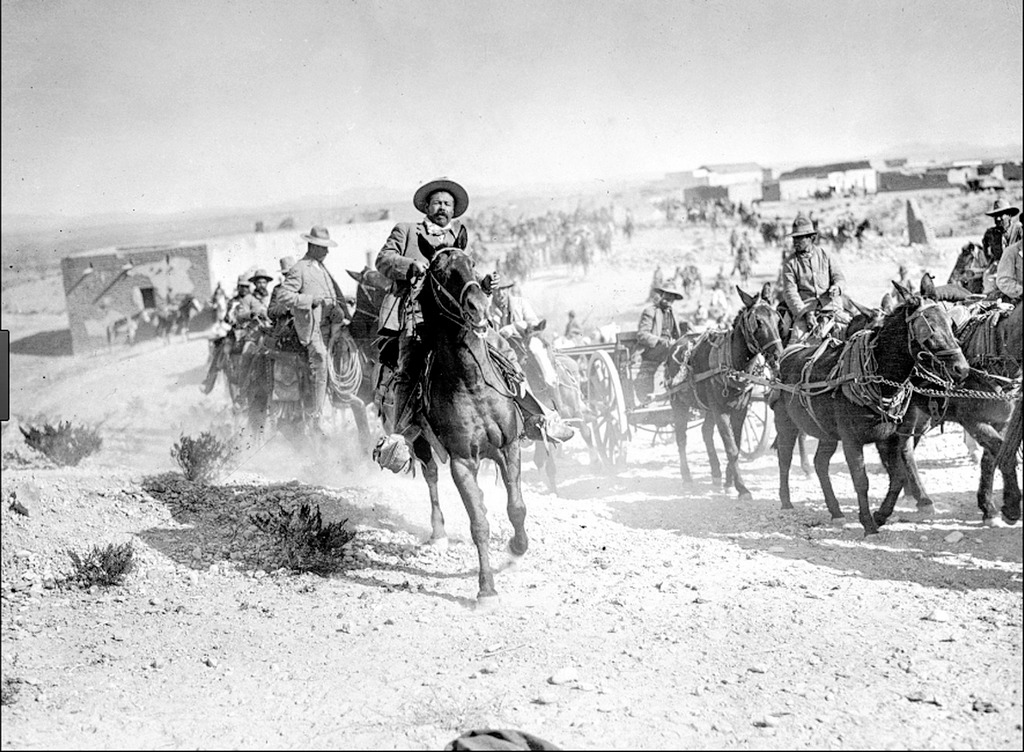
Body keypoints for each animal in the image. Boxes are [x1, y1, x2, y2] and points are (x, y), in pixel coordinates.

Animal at [671, 284, 782, 504]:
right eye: (758, 322)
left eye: (777, 318)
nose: (777, 356)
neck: (732, 363)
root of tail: (678, 341)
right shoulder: (720, 411)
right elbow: (731, 448)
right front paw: (742, 488)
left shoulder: (740, 410)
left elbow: (736, 445)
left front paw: (730, 482)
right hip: (679, 404)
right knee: (681, 438)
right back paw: (686, 476)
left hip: (707, 408)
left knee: (705, 432)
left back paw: (715, 473)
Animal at [770, 278, 970, 536]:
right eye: (930, 330)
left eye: (951, 325)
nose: (961, 369)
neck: (880, 379)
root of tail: (787, 354)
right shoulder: (851, 440)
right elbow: (861, 481)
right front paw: (868, 522)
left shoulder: (890, 438)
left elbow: (898, 477)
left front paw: (881, 515)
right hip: (785, 422)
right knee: (784, 458)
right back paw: (786, 501)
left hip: (827, 433)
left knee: (820, 463)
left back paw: (835, 510)